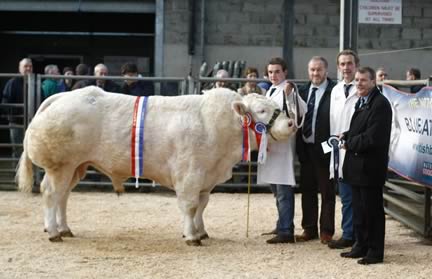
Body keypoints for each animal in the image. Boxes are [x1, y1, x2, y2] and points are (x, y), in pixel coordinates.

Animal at [16, 86, 296, 246]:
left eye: (277, 106)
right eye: (261, 110)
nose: (292, 123)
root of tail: (61, 97)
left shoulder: (207, 179)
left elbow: (202, 206)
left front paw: (201, 231)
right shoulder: (189, 175)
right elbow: (190, 206)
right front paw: (191, 236)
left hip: (76, 166)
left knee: (62, 197)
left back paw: (64, 228)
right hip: (60, 166)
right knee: (51, 194)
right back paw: (53, 232)